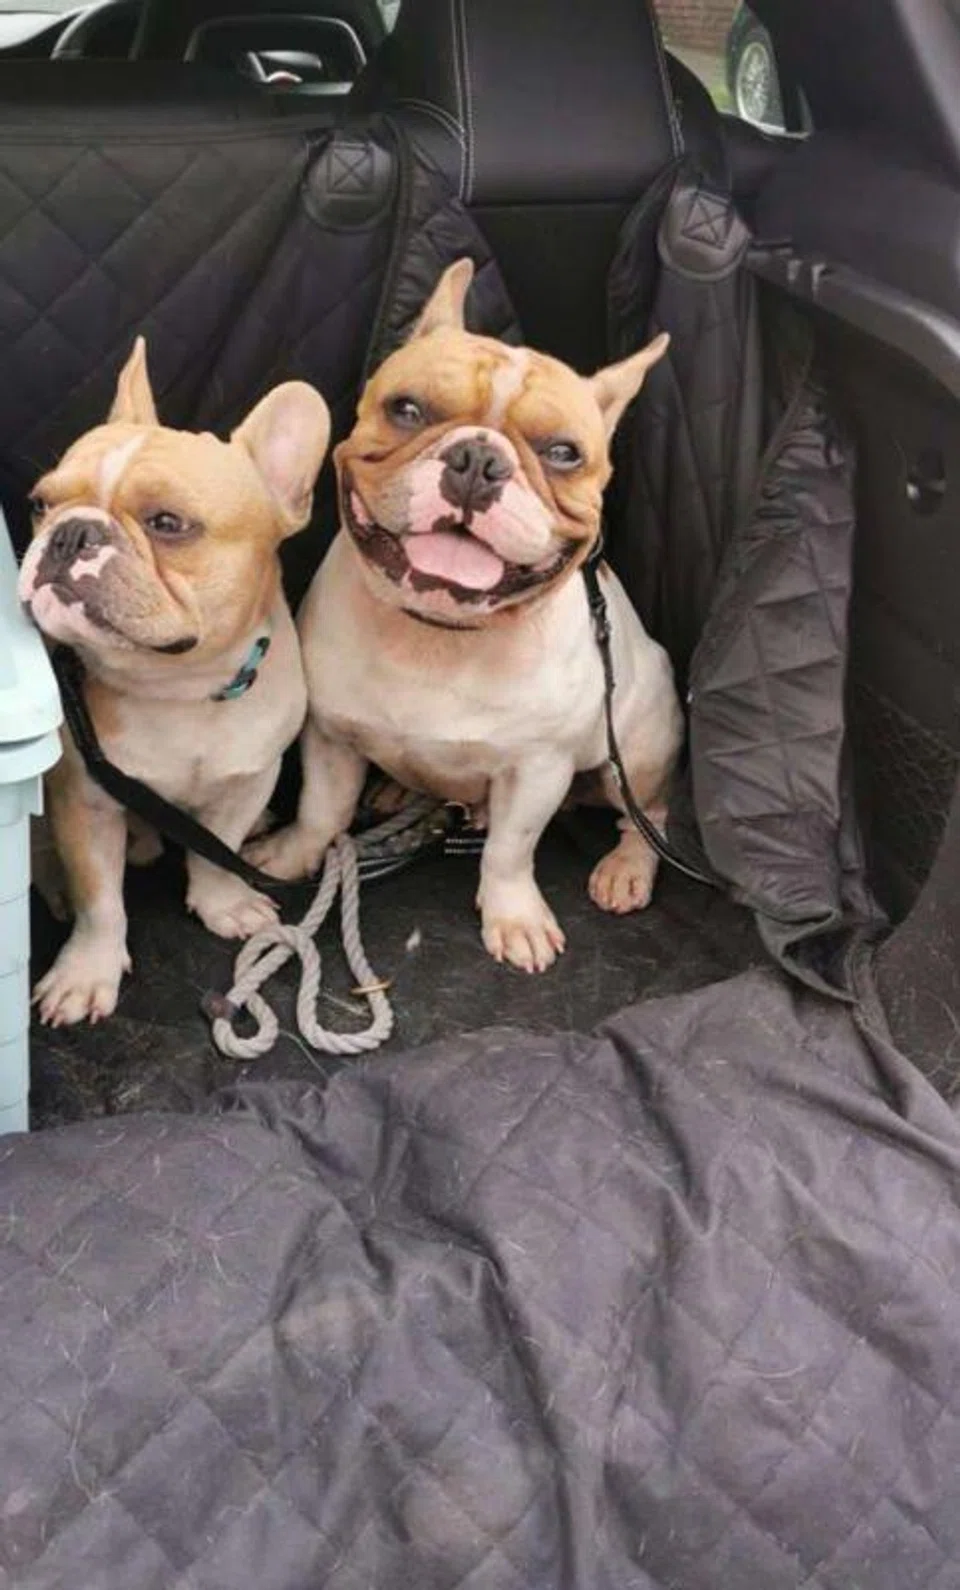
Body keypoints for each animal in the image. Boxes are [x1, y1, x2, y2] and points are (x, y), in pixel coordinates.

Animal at [19, 338, 331, 1025]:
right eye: (40, 504)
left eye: (167, 523)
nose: (72, 531)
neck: (176, 687)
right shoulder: (85, 802)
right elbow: (100, 902)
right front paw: (87, 971)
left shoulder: (247, 780)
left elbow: (218, 849)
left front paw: (224, 902)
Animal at [248, 258, 684, 973]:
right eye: (407, 409)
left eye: (563, 453)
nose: (479, 460)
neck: (439, 635)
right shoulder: (331, 736)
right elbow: (321, 808)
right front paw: (294, 853)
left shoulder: (537, 769)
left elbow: (511, 849)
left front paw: (514, 918)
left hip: (638, 747)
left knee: (647, 815)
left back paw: (627, 867)